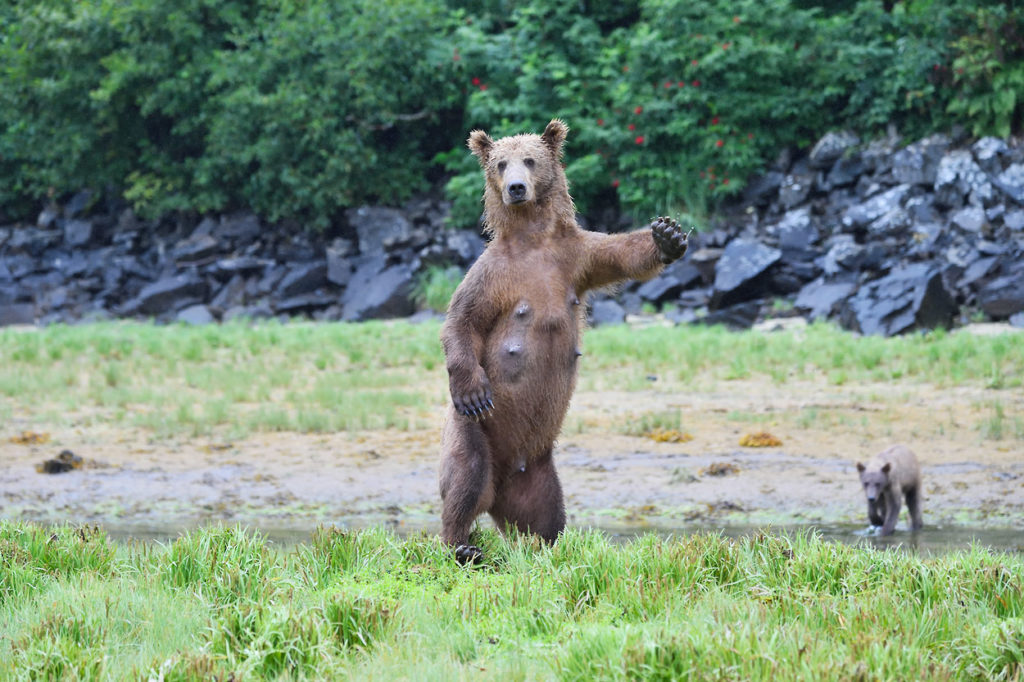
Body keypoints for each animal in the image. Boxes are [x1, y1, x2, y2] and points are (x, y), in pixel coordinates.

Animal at [438, 118, 688, 561]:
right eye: (500, 163)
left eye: (530, 159)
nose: (516, 188)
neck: (532, 239)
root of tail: (500, 488)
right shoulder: (492, 275)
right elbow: (461, 320)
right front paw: (472, 389)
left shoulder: (573, 259)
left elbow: (619, 253)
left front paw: (666, 235)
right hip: (473, 434)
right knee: (465, 478)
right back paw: (462, 546)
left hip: (538, 468)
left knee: (546, 510)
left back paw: (548, 545)